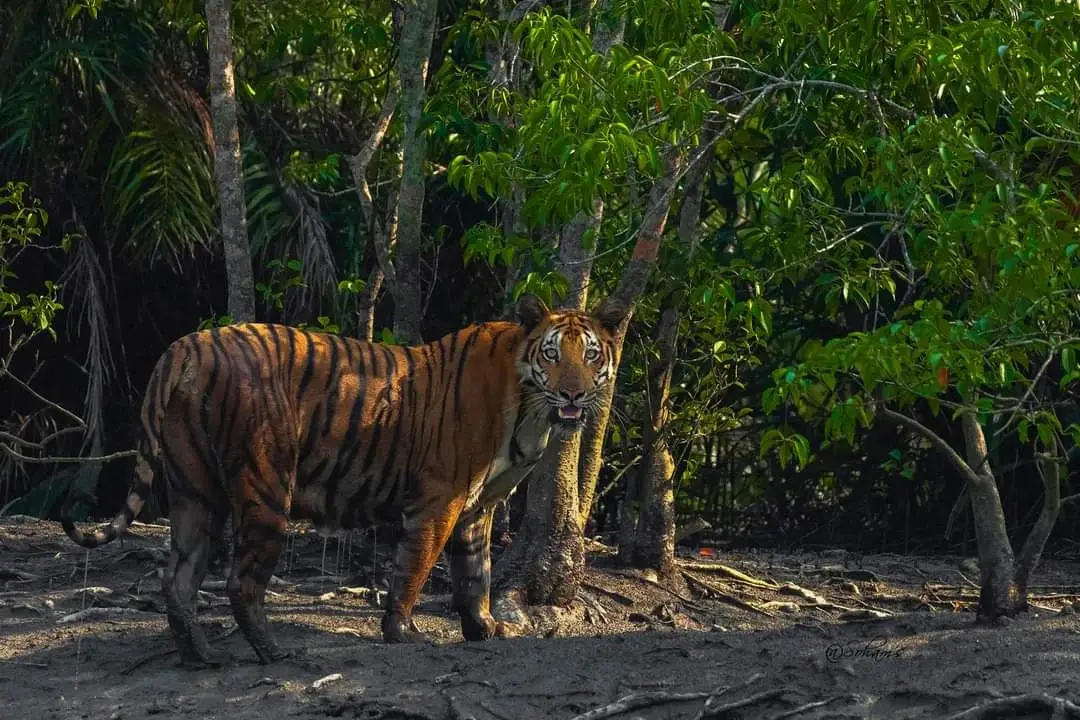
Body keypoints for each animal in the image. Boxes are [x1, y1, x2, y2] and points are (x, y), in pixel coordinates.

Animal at [60, 293, 626, 667]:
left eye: (590, 354)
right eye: (552, 354)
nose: (574, 394)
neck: (531, 409)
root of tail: (185, 347)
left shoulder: (477, 506)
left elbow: (476, 574)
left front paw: (485, 628)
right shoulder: (438, 501)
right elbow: (414, 569)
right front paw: (403, 633)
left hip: (195, 492)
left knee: (177, 579)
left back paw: (200, 654)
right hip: (266, 487)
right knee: (241, 582)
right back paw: (275, 653)